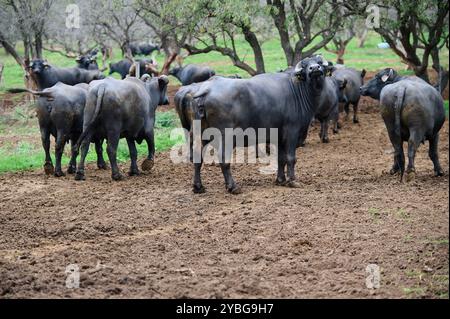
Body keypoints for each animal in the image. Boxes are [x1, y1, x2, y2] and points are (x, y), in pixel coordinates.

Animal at [185, 55, 330, 195]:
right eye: (305, 65)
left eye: (319, 63)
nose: (314, 68)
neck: (298, 89)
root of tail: (207, 89)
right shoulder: (292, 132)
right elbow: (291, 158)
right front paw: (292, 181)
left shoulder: (279, 137)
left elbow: (281, 158)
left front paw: (280, 180)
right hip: (226, 135)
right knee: (223, 159)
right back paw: (233, 187)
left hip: (201, 133)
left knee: (197, 157)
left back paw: (198, 187)